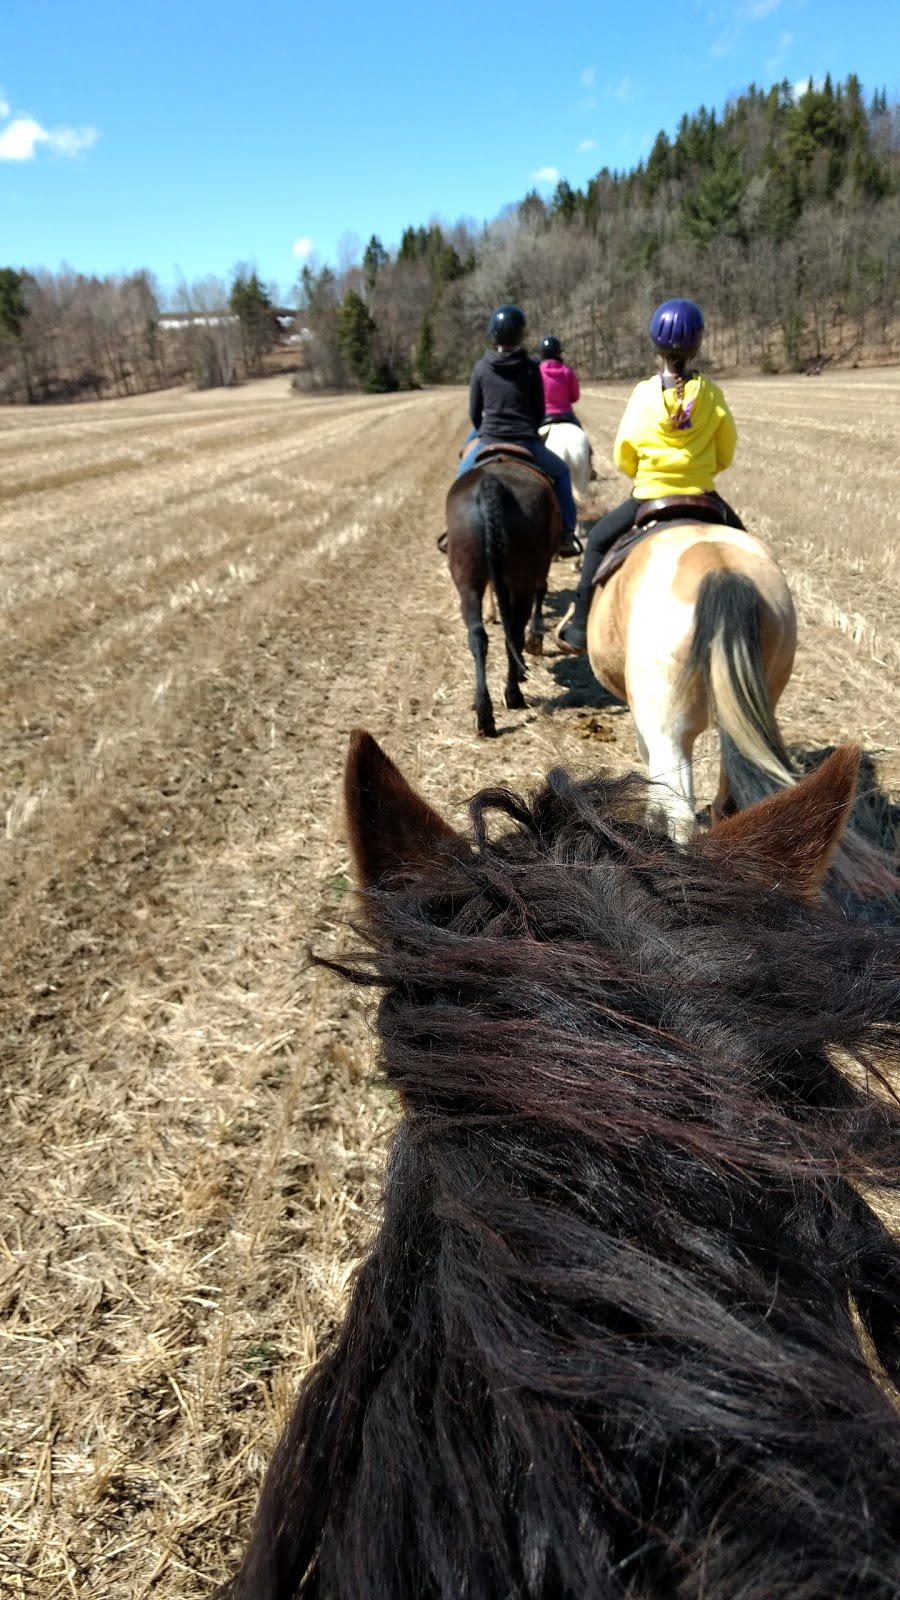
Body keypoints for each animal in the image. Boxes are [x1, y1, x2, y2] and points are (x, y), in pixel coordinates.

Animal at [445, 451, 557, 736]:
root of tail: (492, 485)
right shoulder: (539, 567)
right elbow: (540, 592)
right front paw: (535, 641)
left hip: (467, 581)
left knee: (478, 637)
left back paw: (484, 713)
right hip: (522, 579)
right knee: (514, 634)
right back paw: (513, 694)